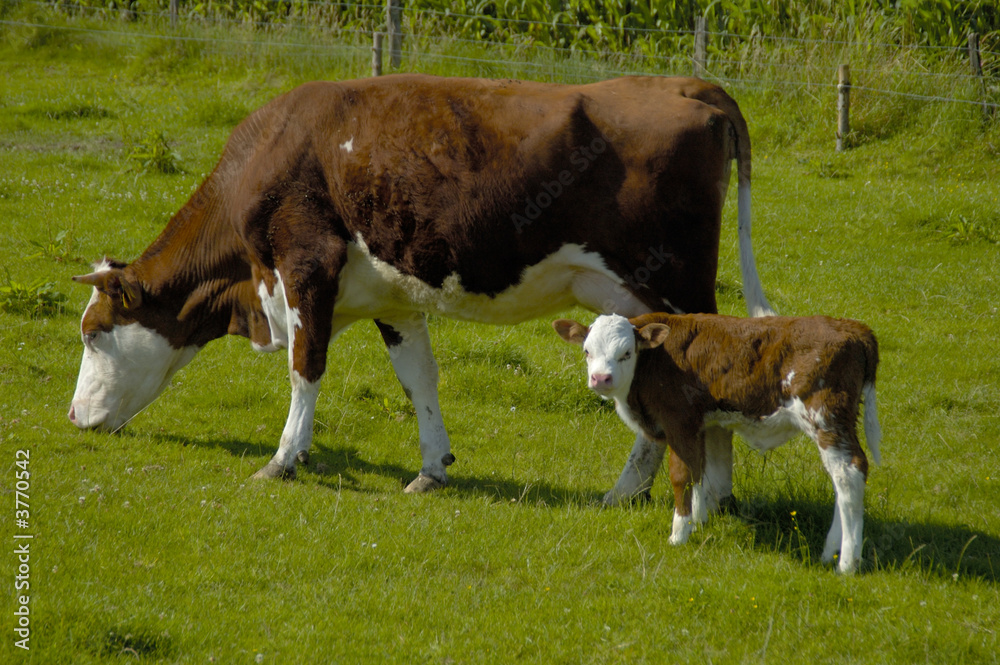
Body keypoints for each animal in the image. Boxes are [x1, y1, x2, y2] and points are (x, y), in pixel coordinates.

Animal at [68, 73, 774, 494]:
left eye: (95, 333)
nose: (73, 418)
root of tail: (687, 83)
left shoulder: (305, 266)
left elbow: (305, 368)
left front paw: (284, 458)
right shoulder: (393, 296)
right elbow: (419, 380)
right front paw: (433, 467)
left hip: (678, 285)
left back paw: (706, 492)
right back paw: (627, 492)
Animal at [553, 313, 881, 573]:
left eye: (626, 353)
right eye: (587, 351)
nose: (601, 378)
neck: (654, 362)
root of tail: (854, 327)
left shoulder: (679, 421)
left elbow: (681, 476)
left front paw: (679, 533)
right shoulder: (704, 423)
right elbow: (700, 472)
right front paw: (698, 521)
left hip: (826, 417)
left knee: (848, 475)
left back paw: (847, 563)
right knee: (842, 480)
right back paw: (830, 552)